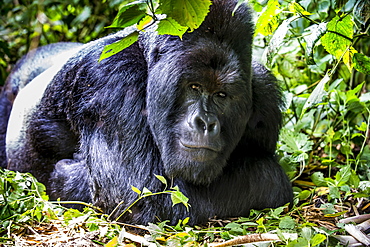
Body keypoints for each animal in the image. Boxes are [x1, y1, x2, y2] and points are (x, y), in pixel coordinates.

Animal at [1, 0, 294, 224]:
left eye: (221, 95)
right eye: (194, 86)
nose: (205, 123)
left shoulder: (263, 91)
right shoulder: (111, 78)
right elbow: (136, 196)